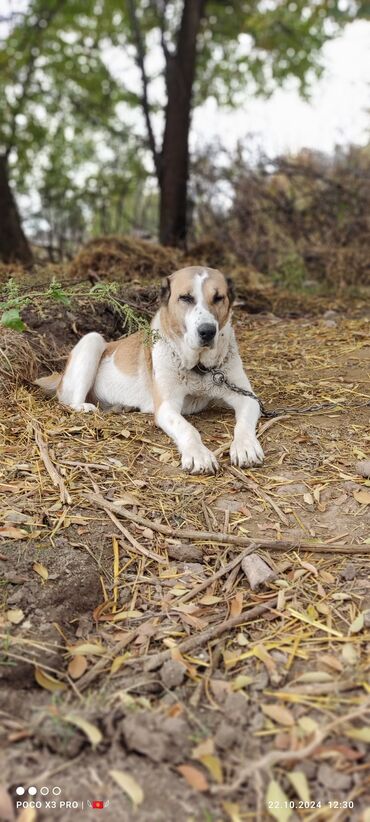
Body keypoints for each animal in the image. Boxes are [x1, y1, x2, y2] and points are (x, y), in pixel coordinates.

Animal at [35, 268, 264, 476]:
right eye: (186, 298)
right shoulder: (166, 406)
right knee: (70, 402)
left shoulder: (246, 397)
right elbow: (188, 429)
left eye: (218, 298)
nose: (207, 331)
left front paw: (245, 447)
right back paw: (85, 407)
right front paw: (199, 455)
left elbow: (243, 424)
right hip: (93, 340)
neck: (200, 368)